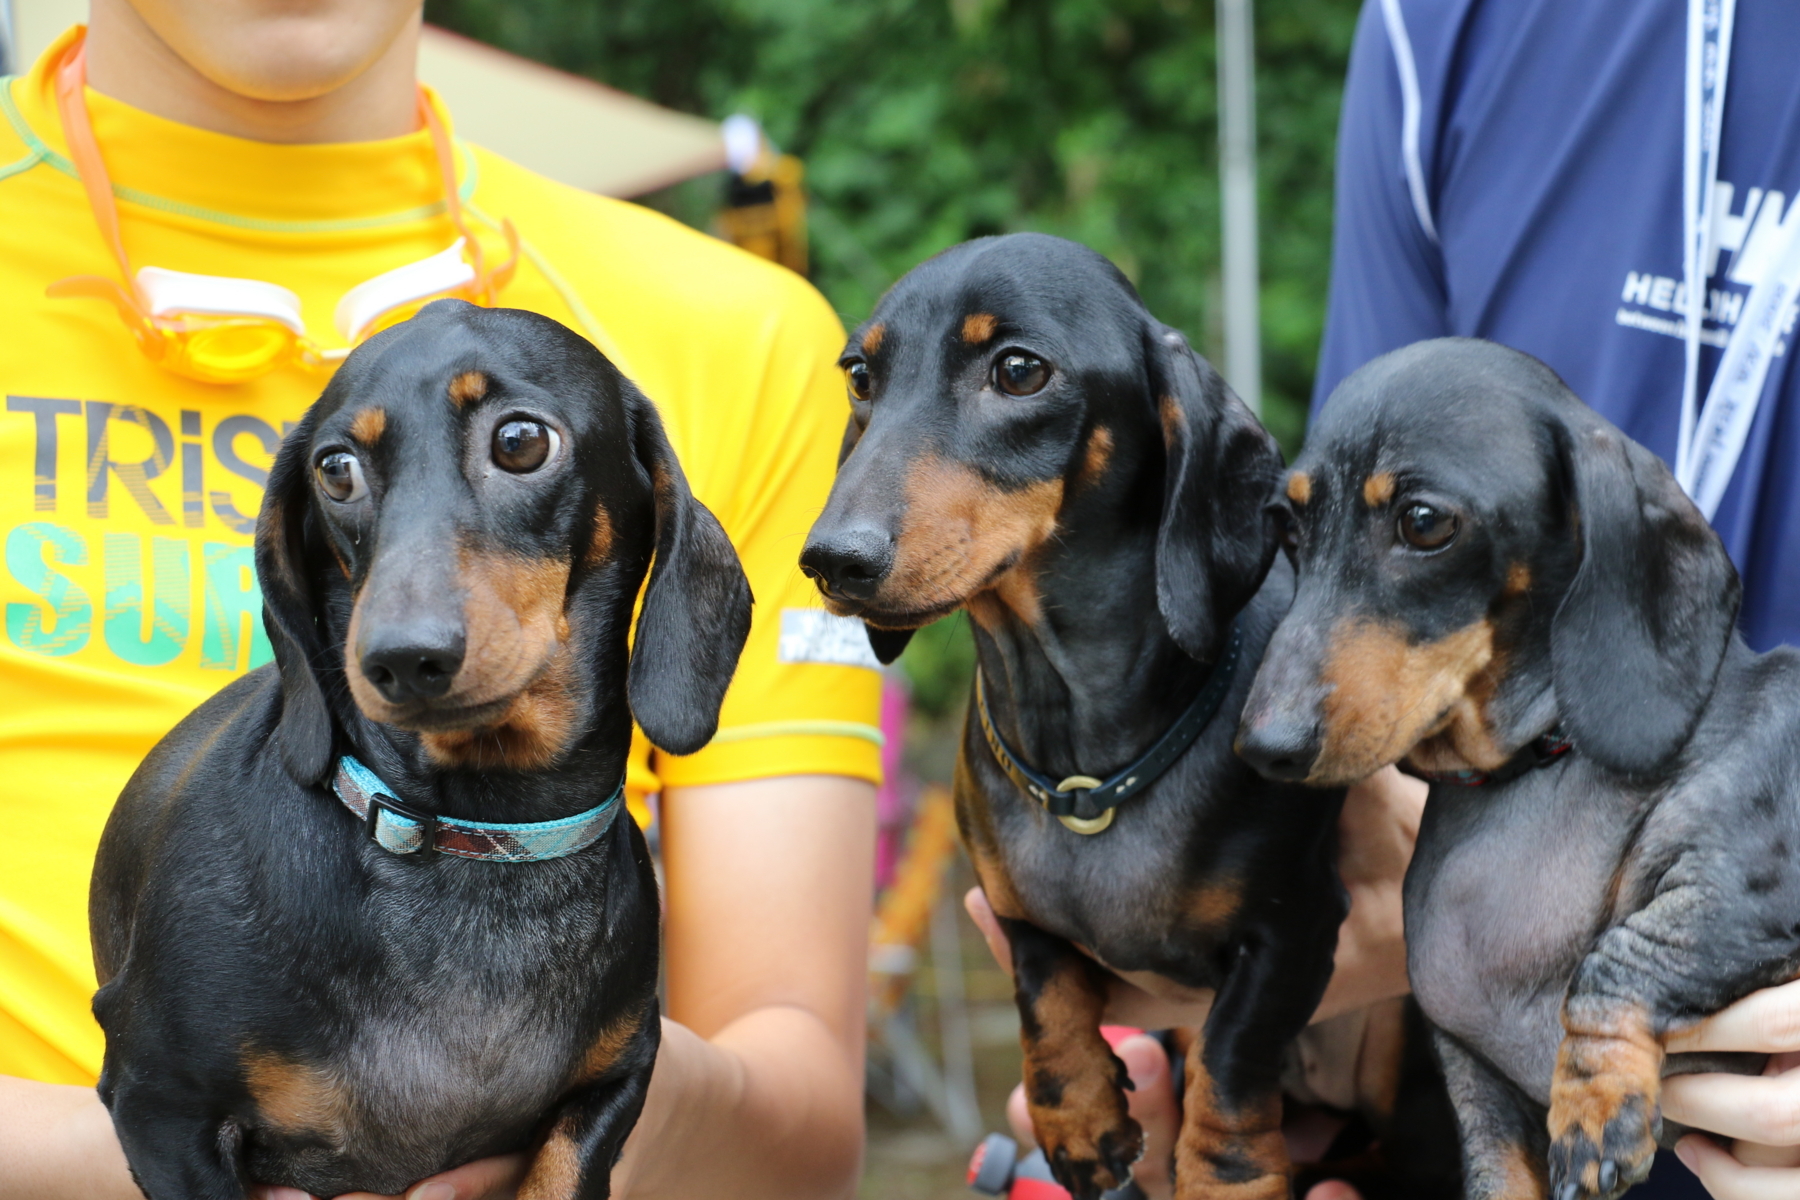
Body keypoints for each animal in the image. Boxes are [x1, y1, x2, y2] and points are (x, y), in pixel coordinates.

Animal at [87, 300, 748, 1200]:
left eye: (521, 442)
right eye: (335, 470)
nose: (402, 658)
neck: (477, 838)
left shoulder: (616, 1080)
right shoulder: (159, 1104)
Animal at [802, 233, 1461, 1200]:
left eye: (1020, 370)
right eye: (859, 374)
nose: (830, 559)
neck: (1089, 765)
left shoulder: (1296, 925)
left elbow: (1231, 1054)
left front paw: (1229, 1173)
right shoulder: (1019, 915)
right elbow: (1045, 995)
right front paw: (1079, 1120)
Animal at [1238, 336, 1800, 1200]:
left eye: (1424, 523)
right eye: (1290, 530)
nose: (1263, 743)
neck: (1539, 767)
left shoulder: (1750, 891)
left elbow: (1622, 956)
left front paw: (1597, 1103)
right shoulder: (1476, 1089)